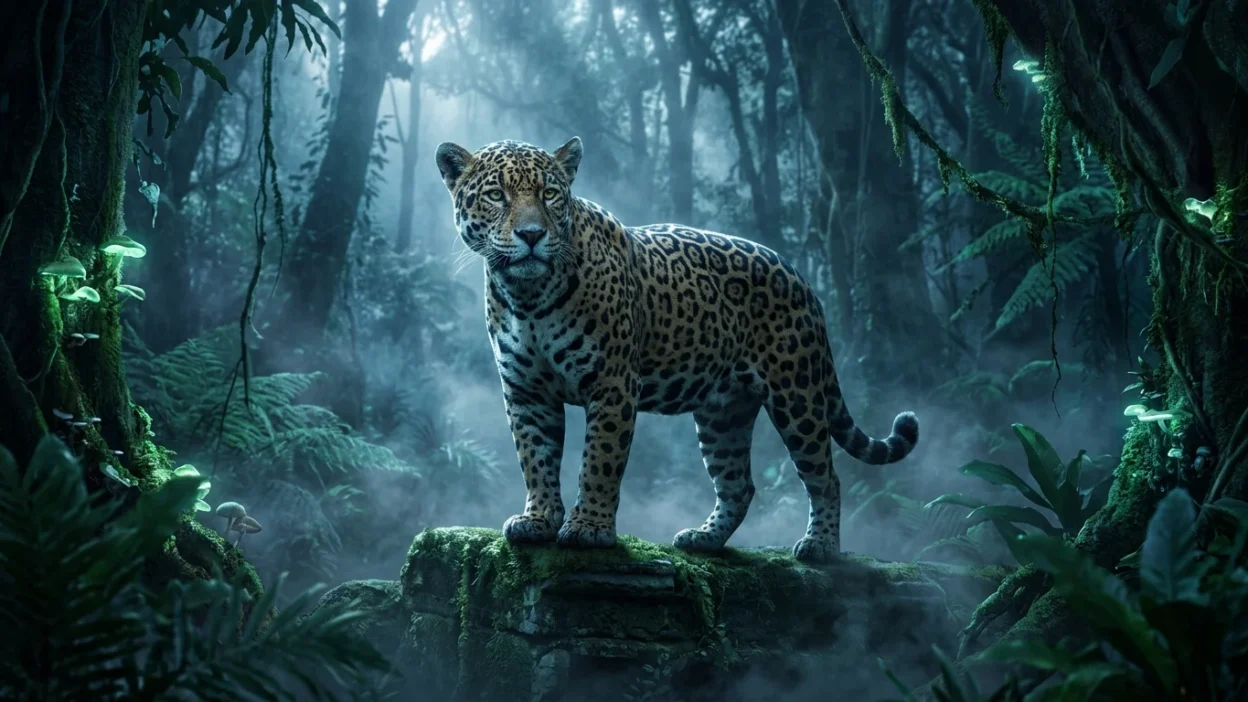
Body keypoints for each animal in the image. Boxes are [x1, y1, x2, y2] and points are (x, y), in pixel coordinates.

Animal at [434, 137, 919, 563]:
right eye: (496, 195)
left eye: (549, 194)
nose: (532, 235)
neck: (529, 297)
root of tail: (801, 278)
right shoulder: (527, 391)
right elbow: (535, 458)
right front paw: (538, 520)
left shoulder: (613, 384)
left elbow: (599, 461)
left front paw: (589, 528)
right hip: (724, 413)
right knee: (739, 484)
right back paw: (703, 539)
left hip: (796, 395)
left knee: (826, 477)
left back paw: (821, 547)